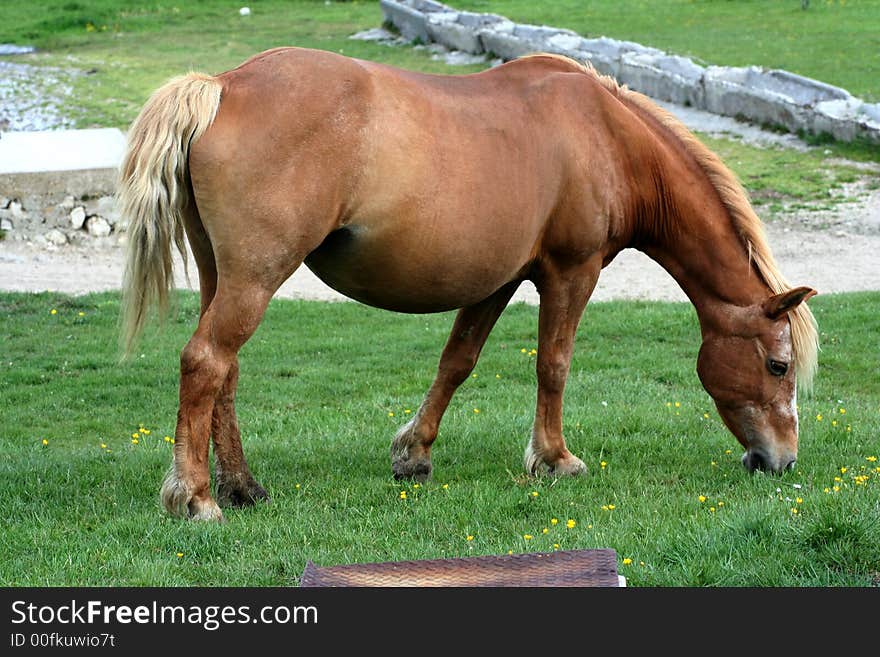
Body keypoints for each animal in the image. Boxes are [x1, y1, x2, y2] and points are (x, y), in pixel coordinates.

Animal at [115, 46, 820, 520]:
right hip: (255, 277)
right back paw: (196, 497)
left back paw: (241, 486)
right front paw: (554, 459)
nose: (783, 461)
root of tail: (224, 85)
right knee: (206, 361)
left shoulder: (496, 282)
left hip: (225, 276)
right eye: (779, 366)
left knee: (224, 371)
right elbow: (553, 364)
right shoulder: (572, 271)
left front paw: (413, 453)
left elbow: (457, 362)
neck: (609, 139)